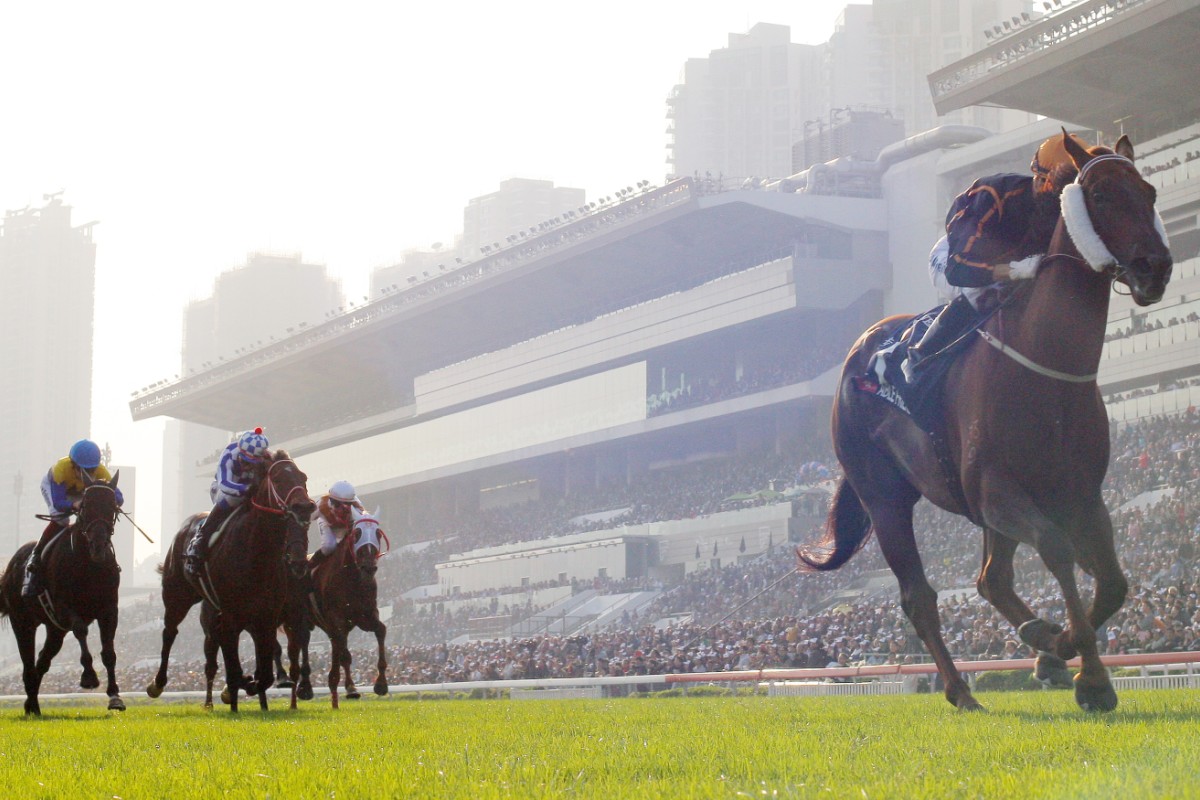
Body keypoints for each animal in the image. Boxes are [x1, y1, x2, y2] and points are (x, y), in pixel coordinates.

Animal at [0, 479, 124, 714]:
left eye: (111, 507)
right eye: (85, 506)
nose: (98, 545)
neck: (89, 565)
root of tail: (10, 567)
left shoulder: (109, 610)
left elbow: (109, 652)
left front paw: (115, 696)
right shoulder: (64, 607)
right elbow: (81, 630)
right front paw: (89, 677)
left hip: (55, 630)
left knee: (42, 661)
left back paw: (32, 704)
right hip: (22, 622)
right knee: (28, 664)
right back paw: (32, 706)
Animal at [145, 450, 316, 714]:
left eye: (303, 477)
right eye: (278, 479)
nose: (304, 507)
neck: (256, 552)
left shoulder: (267, 618)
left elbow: (264, 673)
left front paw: (249, 685)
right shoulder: (231, 617)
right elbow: (235, 667)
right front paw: (238, 688)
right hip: (177, 597)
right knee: (170, 632)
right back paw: (158, 683)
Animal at [283, 510, 391, 710]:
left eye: (378, 534)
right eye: (357, 534)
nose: (369, 567)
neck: (352, 577)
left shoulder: (365, 616)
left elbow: (380, 630)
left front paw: (380, 684)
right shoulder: (336, 619)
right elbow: (343, 653)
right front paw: (346, 687)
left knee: (308, 642)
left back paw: (309, 688)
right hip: (291, 622)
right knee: (295, 654)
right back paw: (296, 696)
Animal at [796, 133, 1171, 714]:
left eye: (1149, 192)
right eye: (1102, 195)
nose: (1156, 266)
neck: (1046, 365)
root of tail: (859, 350)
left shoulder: (1080, 492)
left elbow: (1112, 582)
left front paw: (1059, 649)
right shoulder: (995, 489)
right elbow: (1059, 551)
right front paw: (1091, 677)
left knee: (991, 579)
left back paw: (1038, 643)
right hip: (885, 497)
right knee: (920, 596)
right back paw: (961, 689)